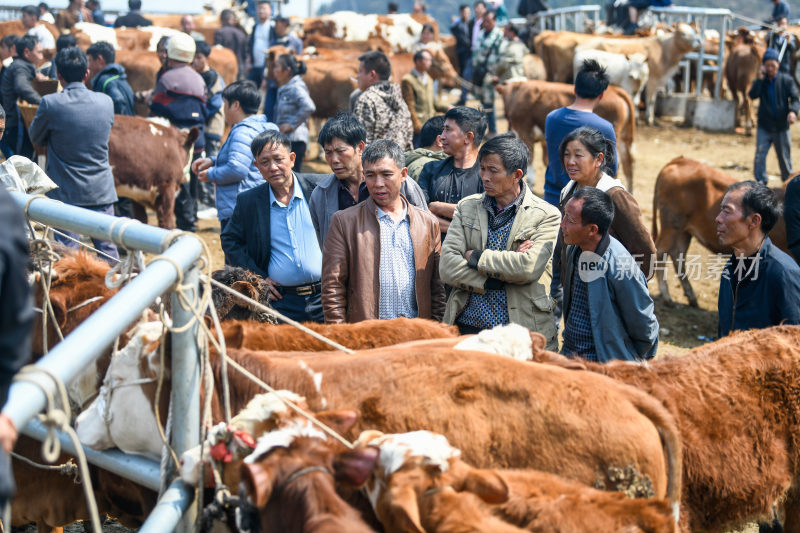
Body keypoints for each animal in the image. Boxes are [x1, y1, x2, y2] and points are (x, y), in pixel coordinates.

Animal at [494, 80, 636, 191]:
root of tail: (616, 90)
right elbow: (546, 160)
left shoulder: (525, 132)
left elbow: (530, 162)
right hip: (623, 138)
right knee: (628, 164)